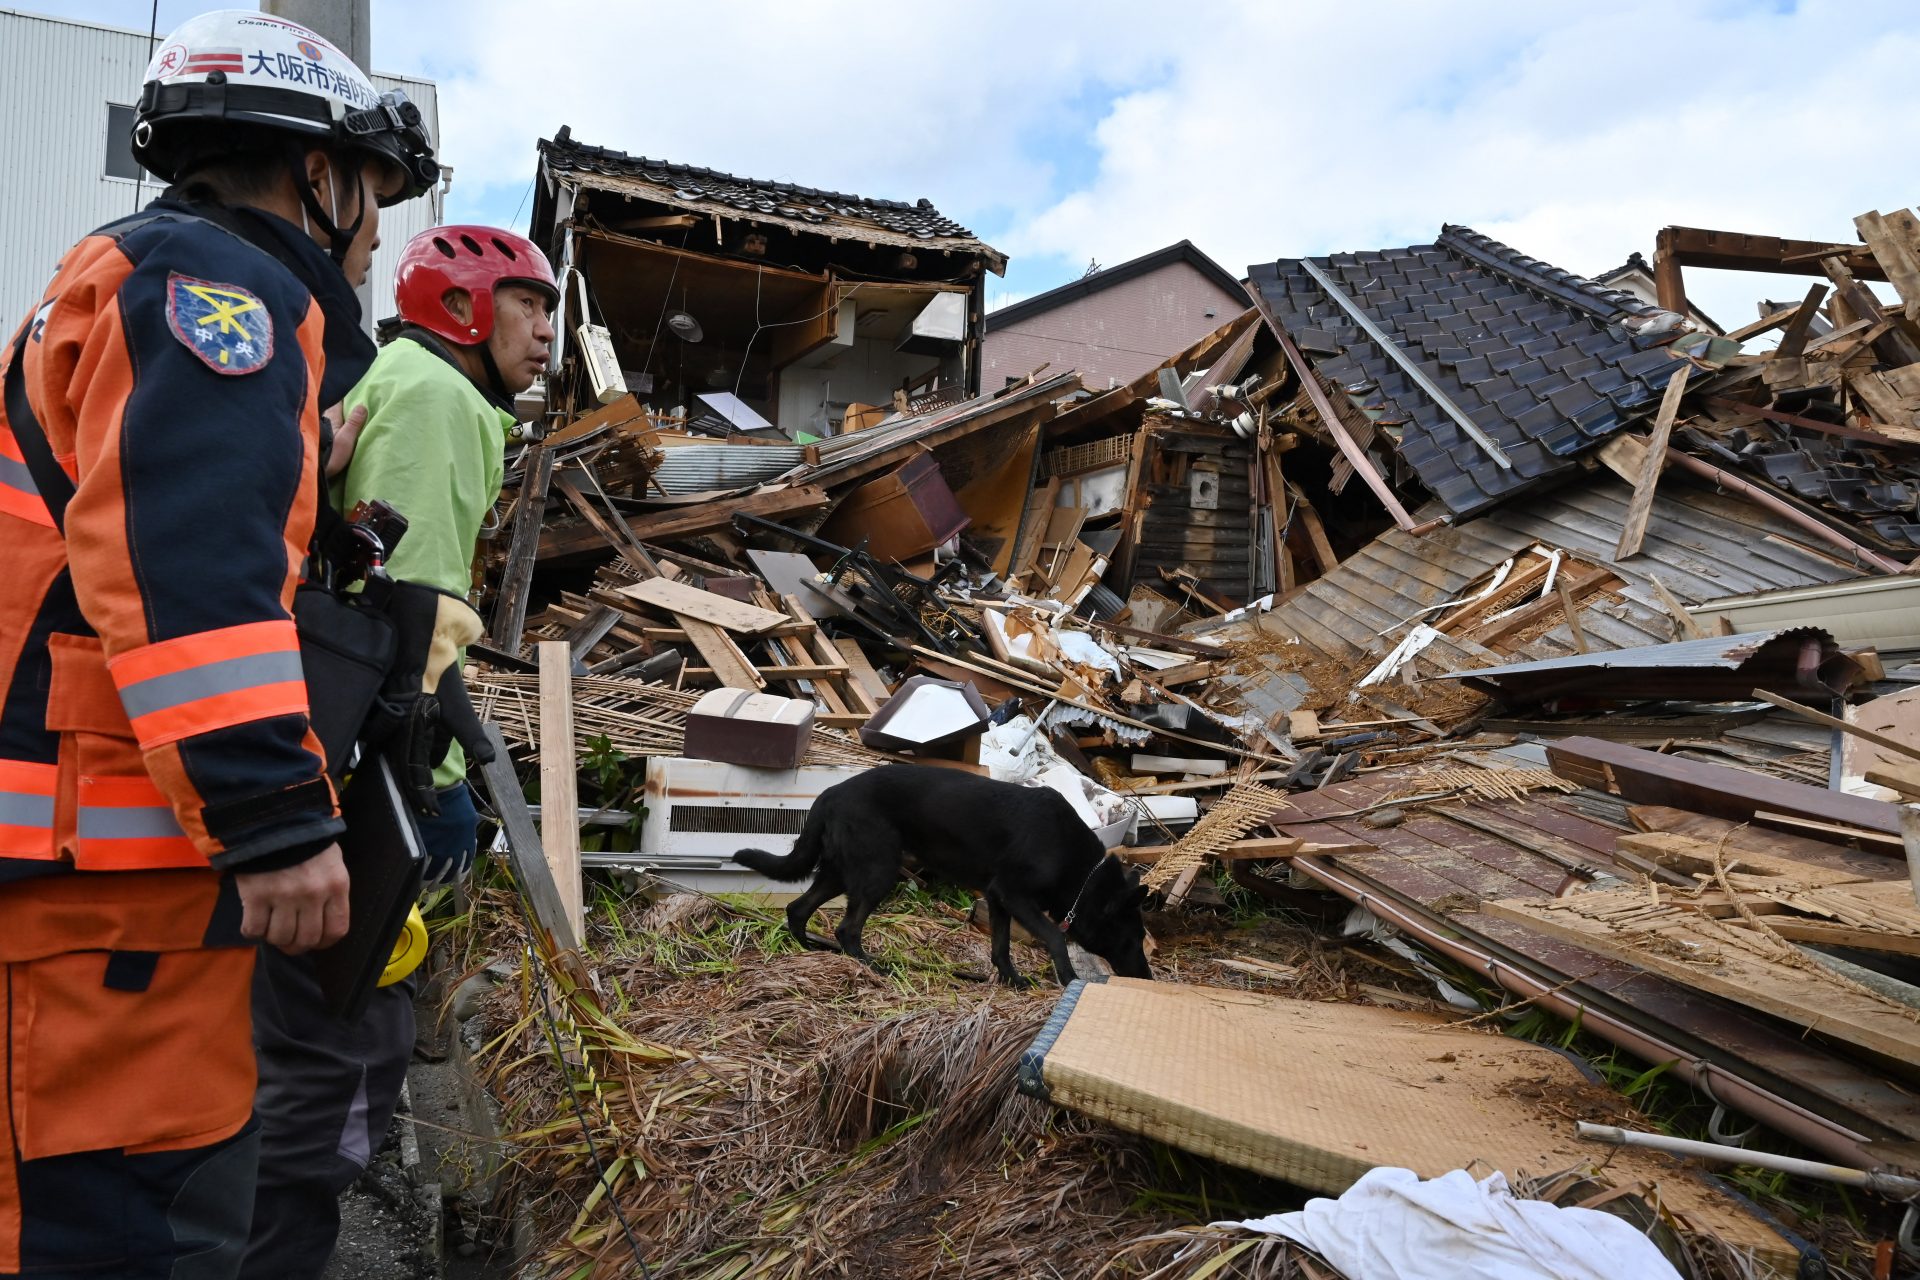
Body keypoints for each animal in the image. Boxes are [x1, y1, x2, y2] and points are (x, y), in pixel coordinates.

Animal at [733, 767, 1152, 990]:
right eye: (1133, 940)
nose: (1147, 978)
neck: (1081, 873)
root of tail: (829, 794)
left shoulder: (998, 897)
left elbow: (1001, 946)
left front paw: (1012, 980)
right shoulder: (1014, 894)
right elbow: (1054, 937)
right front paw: (1067, 977)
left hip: (841, 872)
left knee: (797, 908)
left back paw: (810, 950)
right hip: (879, 870)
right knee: (846, 927)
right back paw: (871, 966)